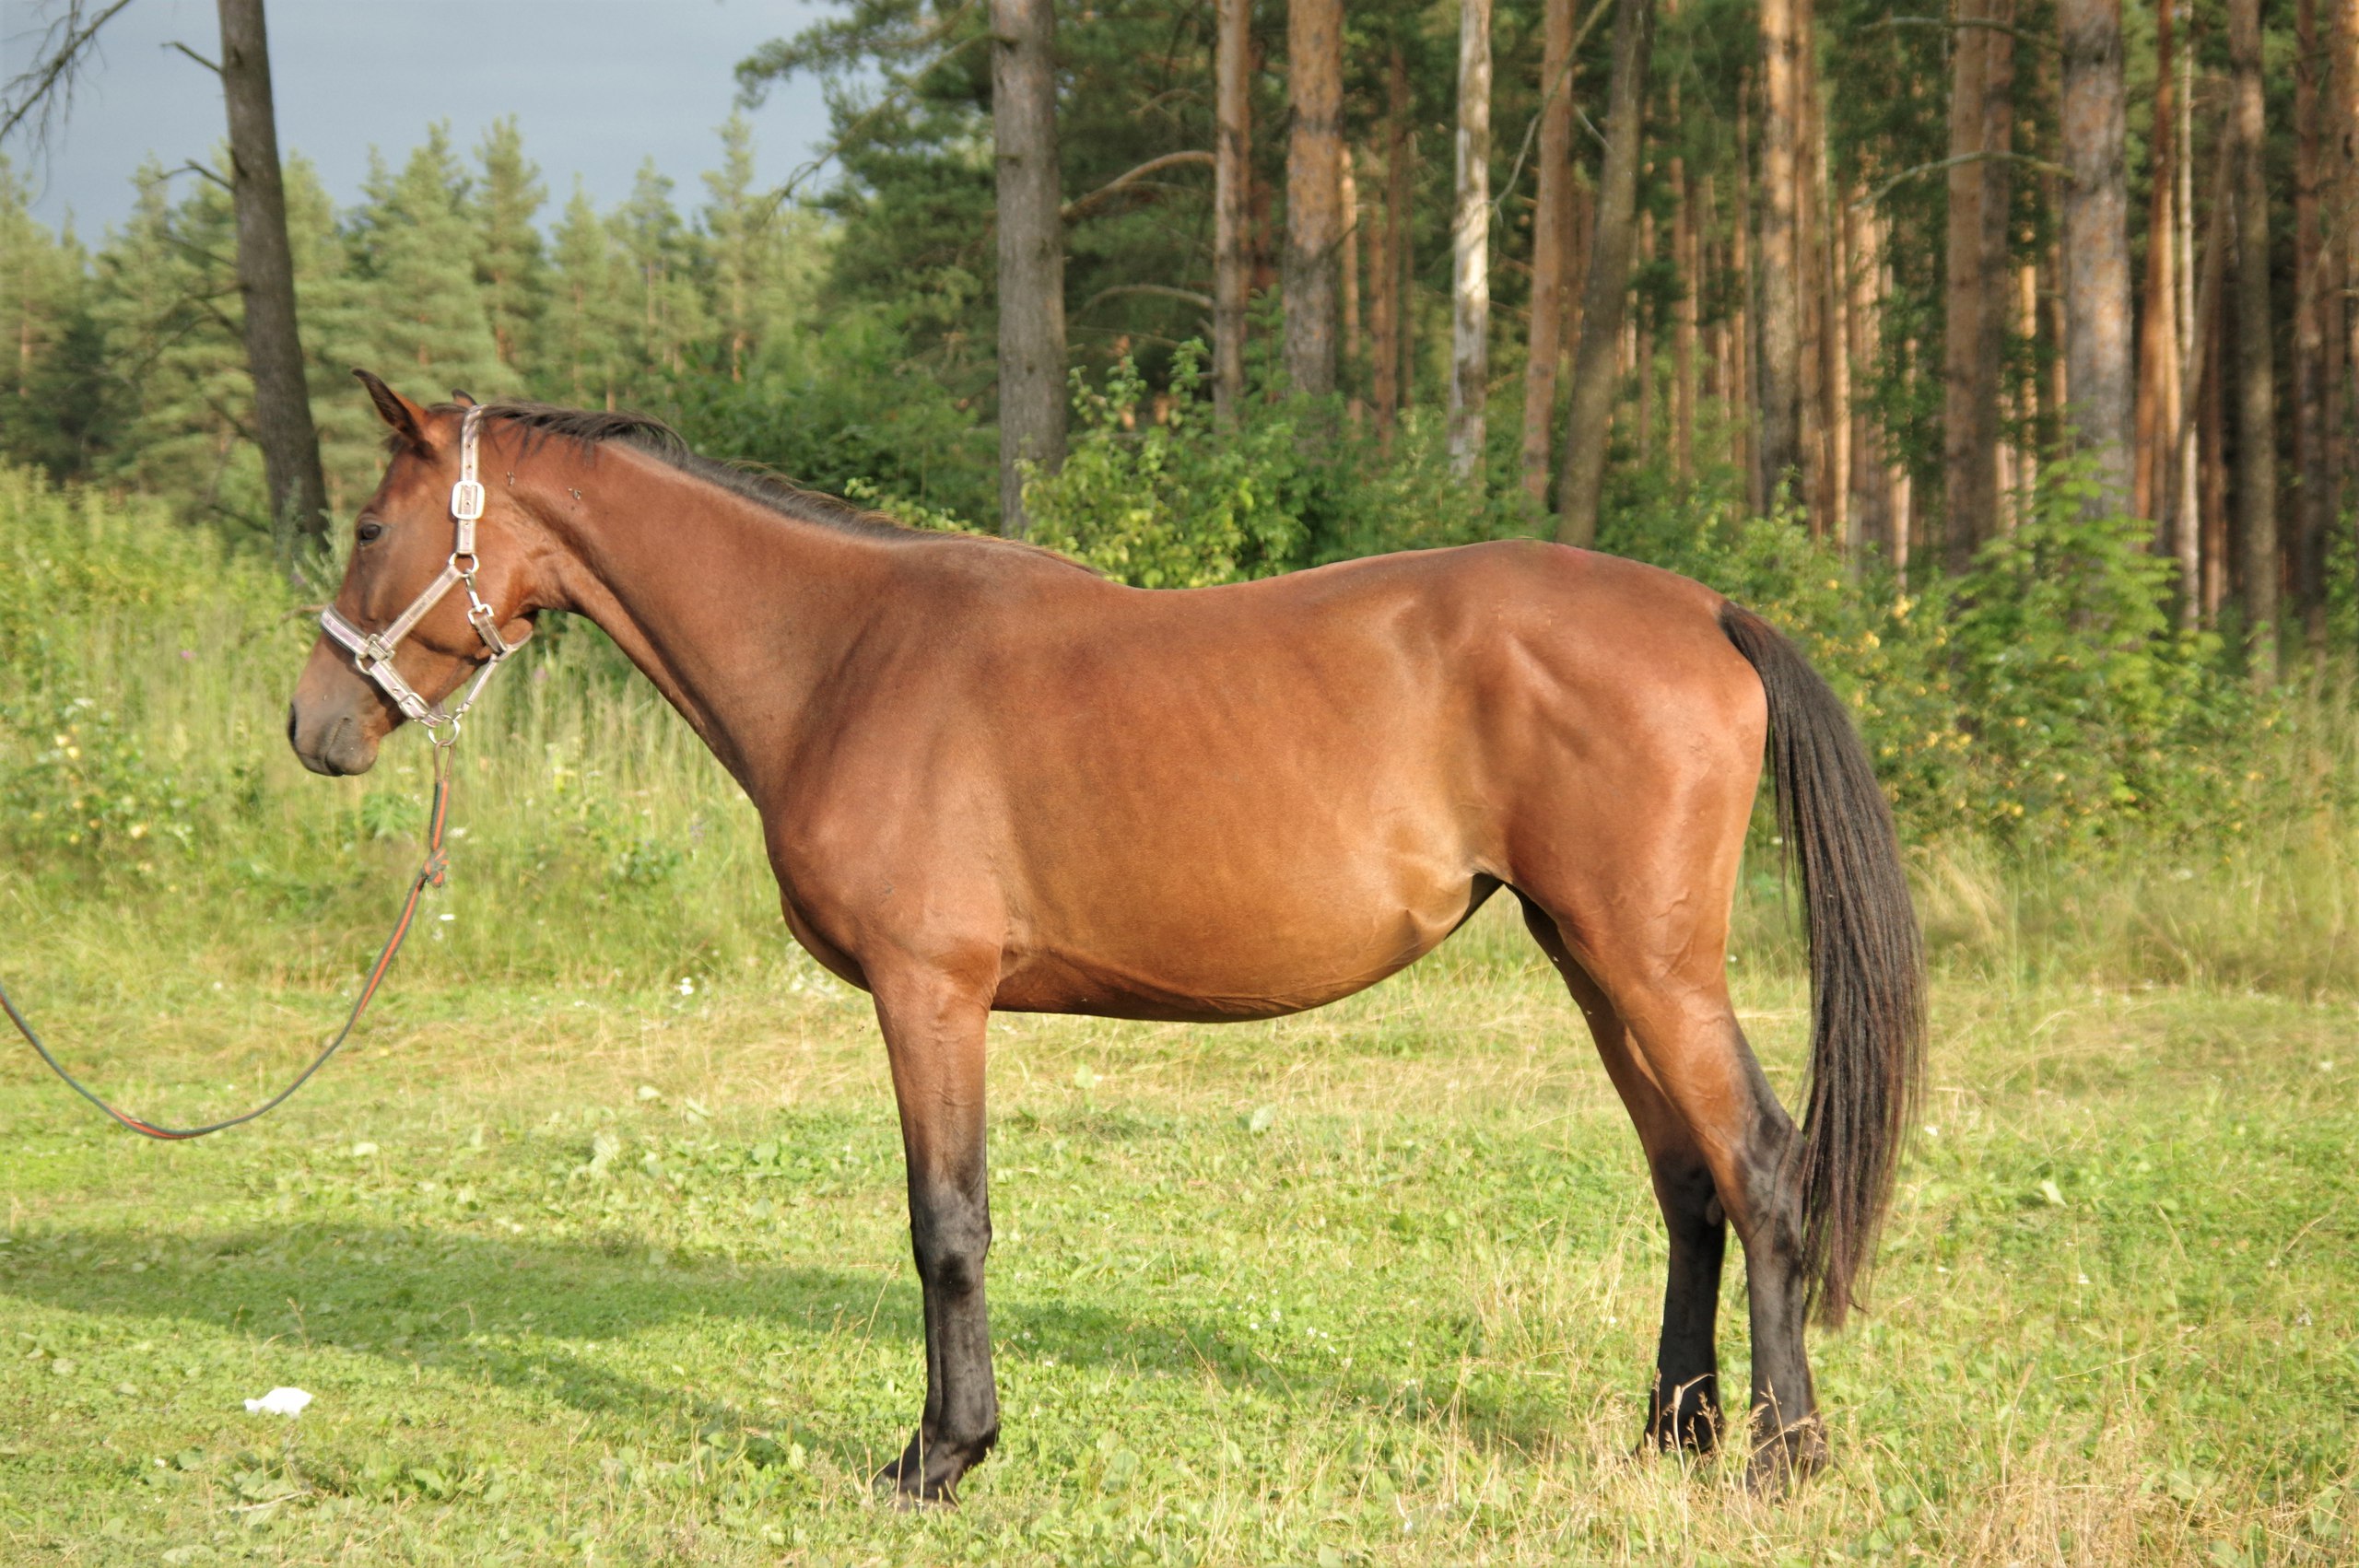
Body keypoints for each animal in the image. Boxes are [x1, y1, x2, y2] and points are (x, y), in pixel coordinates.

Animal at [289, 371, 1923, 1499]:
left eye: (368, 524)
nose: (314, 726)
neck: (845, 653)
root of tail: (1706, 612)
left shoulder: (929, 995)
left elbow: (946, 1225)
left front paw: (941, 1454)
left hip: (1649, 964)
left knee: (1761, 1165)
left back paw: (1782, 1451)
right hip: (1592, 960)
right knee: (1688, 1183)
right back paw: (1675, 1432)